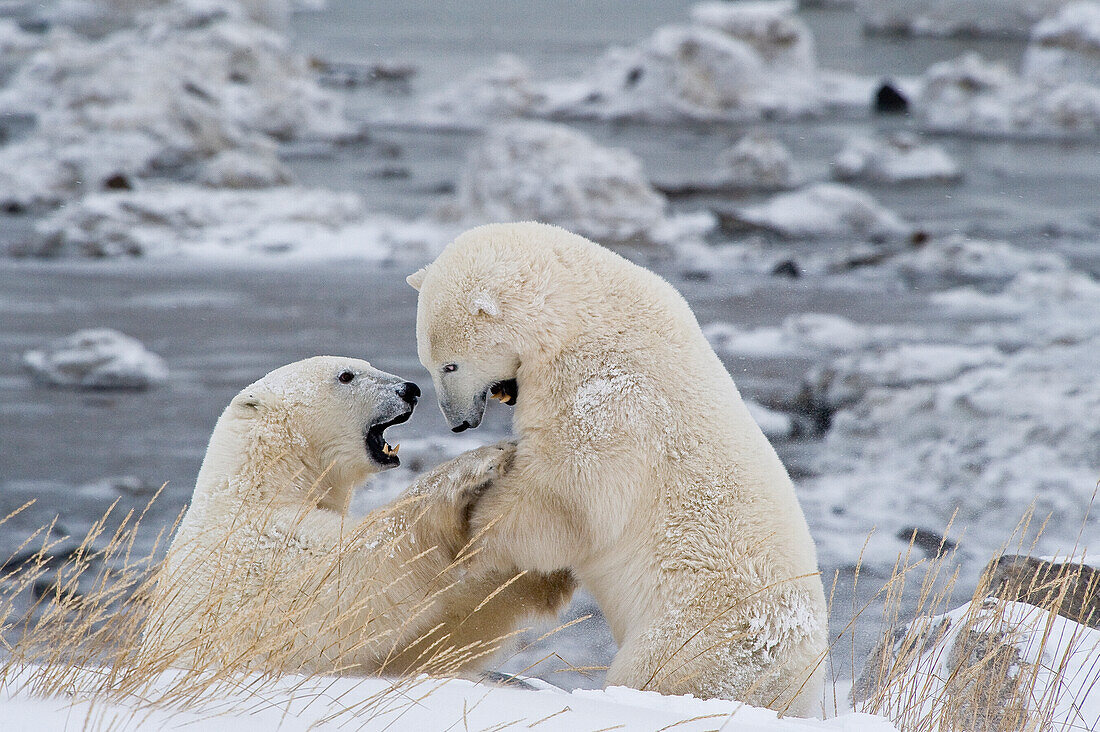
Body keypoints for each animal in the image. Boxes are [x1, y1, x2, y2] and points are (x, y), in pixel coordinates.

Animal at [140, 356, 572, 678]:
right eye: (346, 375)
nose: (410, 389)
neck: (256, 483)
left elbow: (426, 639)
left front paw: (540, 573)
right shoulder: (258, 559)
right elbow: (355, 577)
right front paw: (480, 462)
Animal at [409, 224, 827, 713]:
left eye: (450, 364)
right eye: (429, 362)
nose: (459, 422)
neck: (581, 312)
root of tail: (804, 676)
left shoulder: (610, 390)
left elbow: (570, 490)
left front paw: (475, 527)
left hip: (705, 634)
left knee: (660, 672)